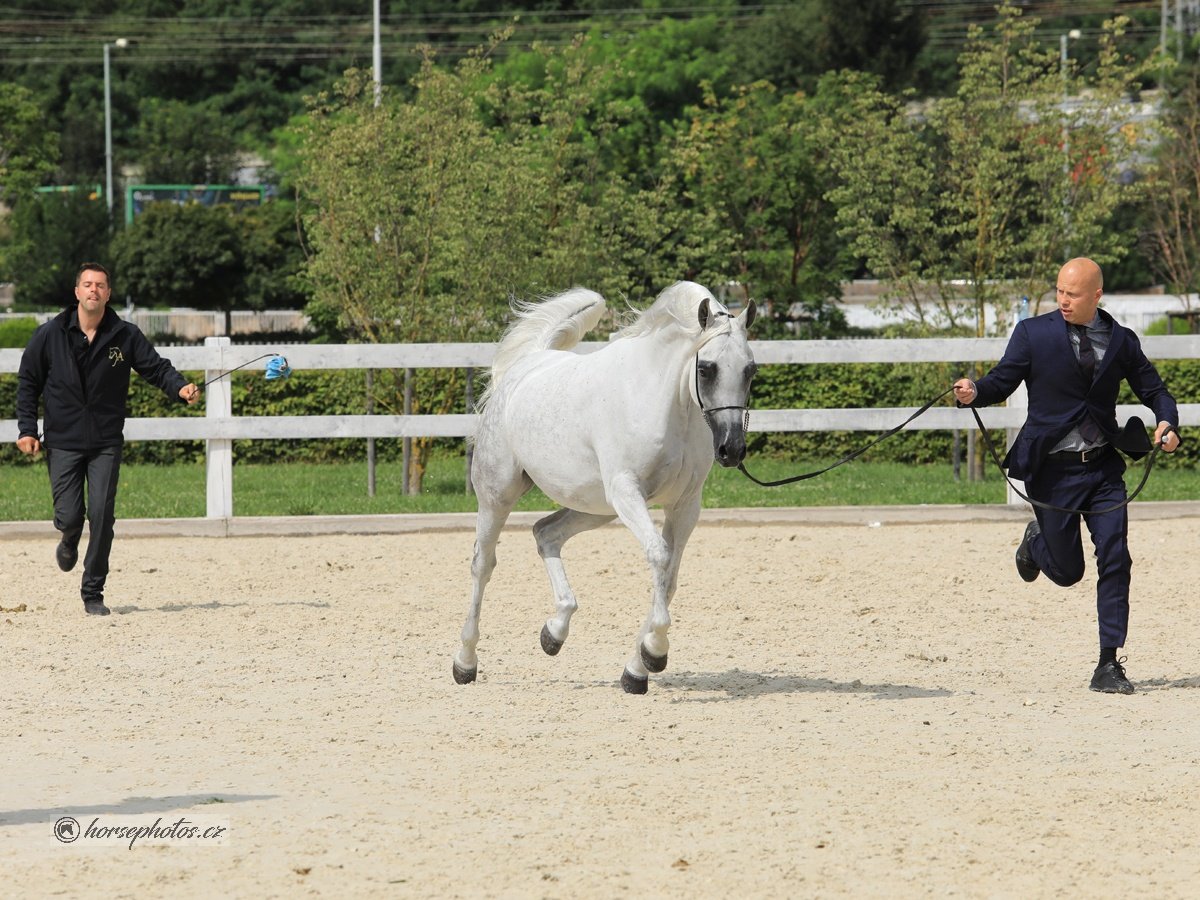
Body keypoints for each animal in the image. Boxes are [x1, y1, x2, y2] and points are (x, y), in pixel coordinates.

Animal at [453, 282, 753, 696]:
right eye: (706, 369)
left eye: (750, 370)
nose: (732, 449)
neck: (663, 401)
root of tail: (527, 363)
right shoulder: (628, 491)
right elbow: (659, 557)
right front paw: (655, 652)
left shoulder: (685, 506)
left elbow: (669, 579)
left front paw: (637, 671)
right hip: (498, 494)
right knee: (483, 565)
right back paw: (465, 662)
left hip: (595, 507)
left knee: (546, 533)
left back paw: (554, 633)